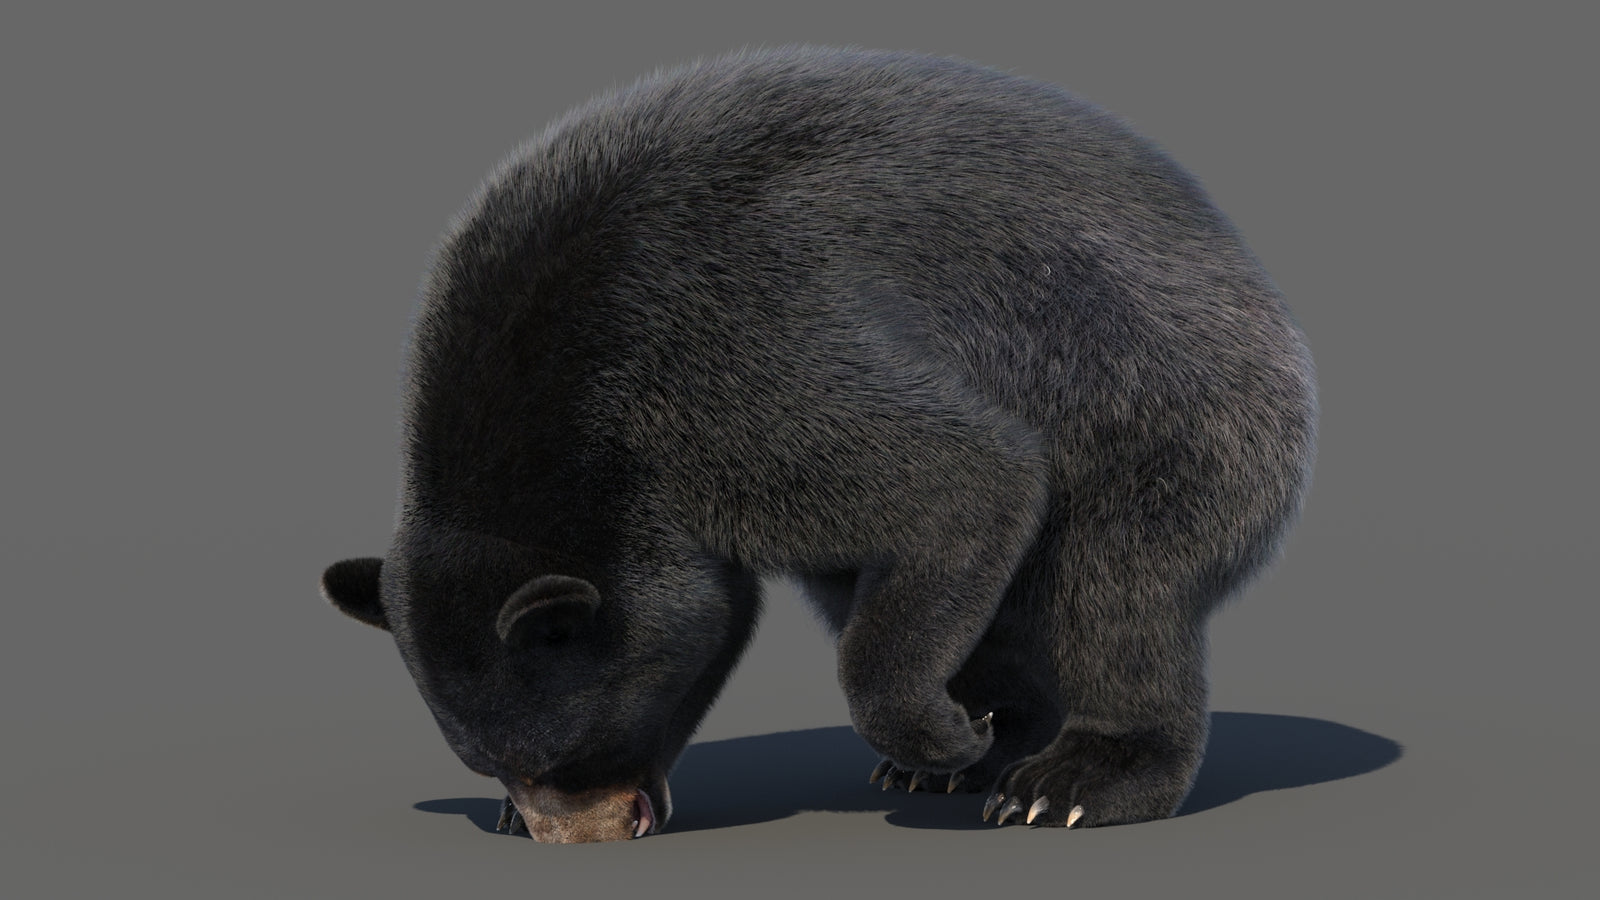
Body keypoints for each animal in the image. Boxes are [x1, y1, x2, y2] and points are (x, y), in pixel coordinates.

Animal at [321, 45, 1317, 843]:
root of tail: (1250, 270)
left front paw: (945, 730)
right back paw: (983, 737)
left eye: (566, 750)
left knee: (1119, 588)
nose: (577, 836)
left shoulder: (735, 372)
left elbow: (969, 477)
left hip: (1165, 400)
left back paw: (1068, 780)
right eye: (490, 759)